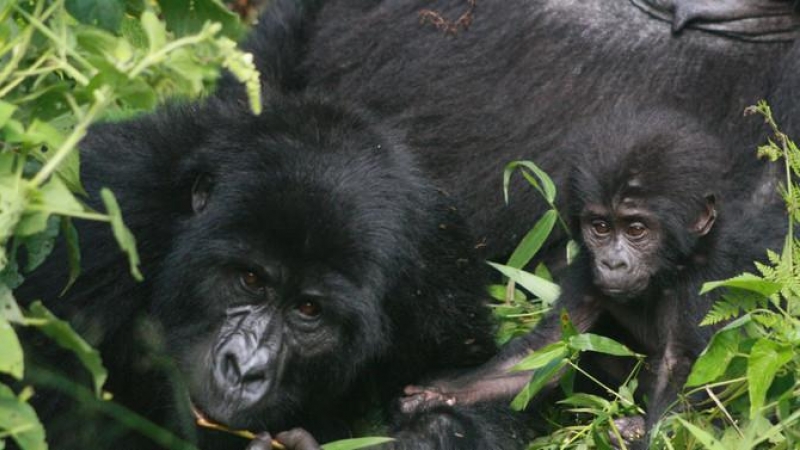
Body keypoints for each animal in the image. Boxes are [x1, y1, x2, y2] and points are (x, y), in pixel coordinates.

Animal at [400, 105, 780, 446]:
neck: (673, 265)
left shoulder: (706, 276)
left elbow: (684, 369)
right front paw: (437, 395)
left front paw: (647, 435)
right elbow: (546, 352)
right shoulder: (584, 268)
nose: (612, 263)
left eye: (636, 229)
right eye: (600, 227)